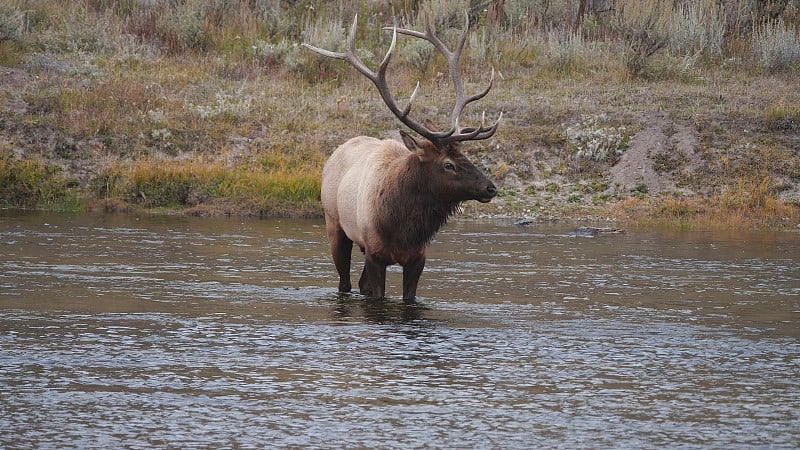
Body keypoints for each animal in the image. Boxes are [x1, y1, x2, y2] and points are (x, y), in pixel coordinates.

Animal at [304, 13, 500, 302]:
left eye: (466, 156)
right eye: (448, 164)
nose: (490, 187)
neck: (402, 228)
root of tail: (335, 152)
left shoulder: (417, 258)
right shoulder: (375, 253)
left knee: (359, 283)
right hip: (335, 225)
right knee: (345, 283)